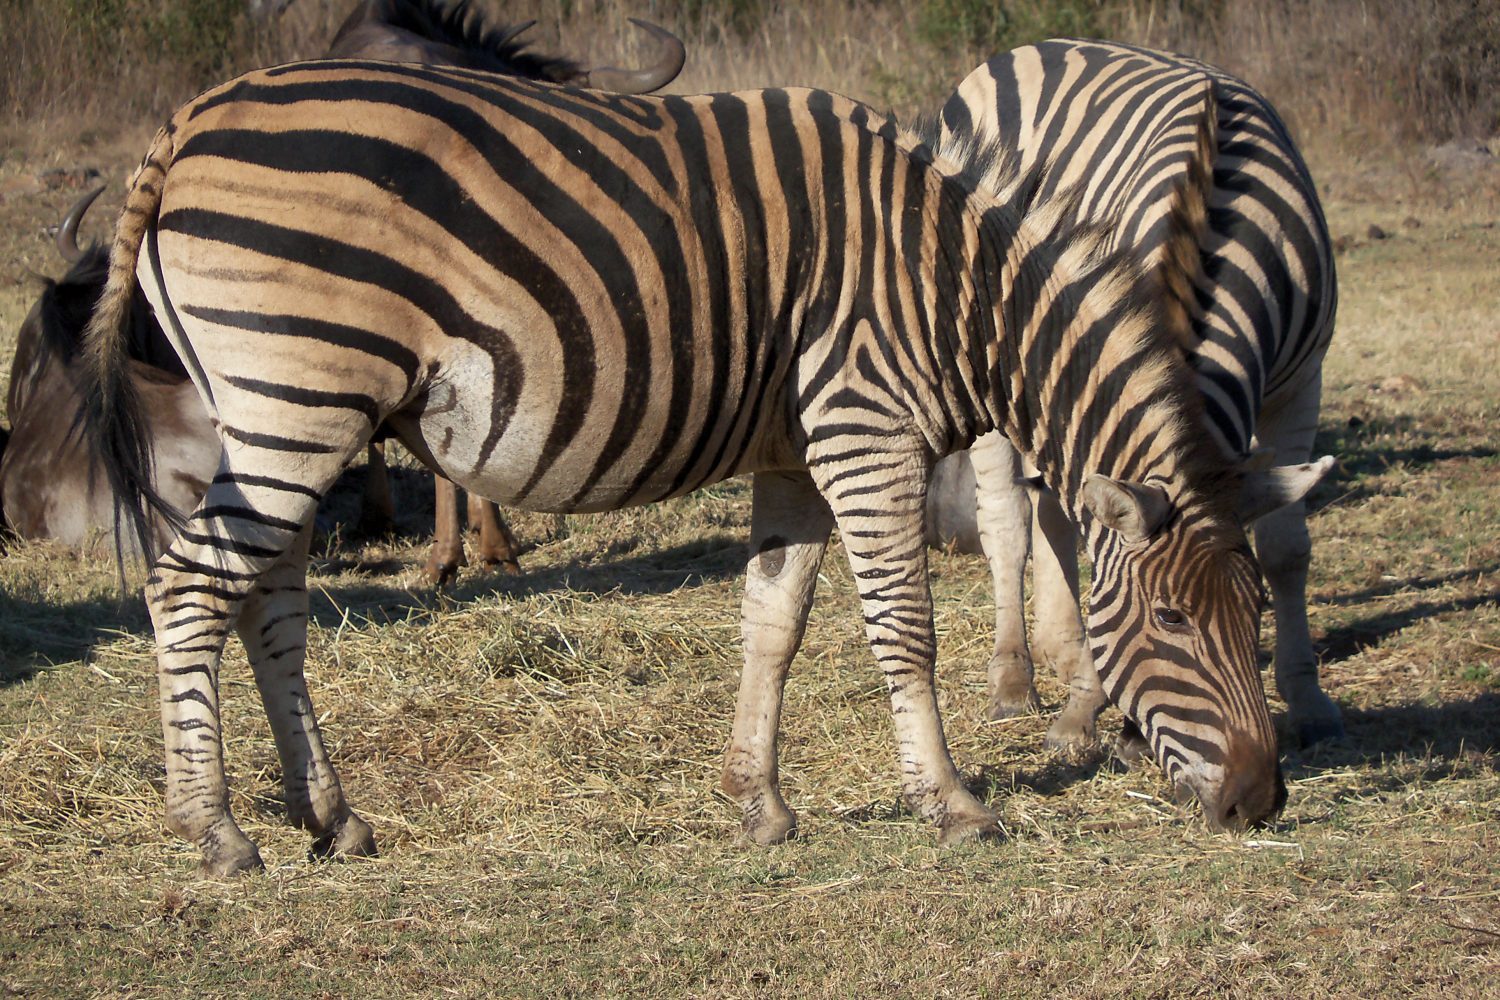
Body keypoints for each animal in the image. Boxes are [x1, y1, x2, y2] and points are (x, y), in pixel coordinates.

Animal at [79, 64, 1302, 875]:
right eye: (1177, 624)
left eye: (1255, 611)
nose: (1263, 799)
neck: (954, 285)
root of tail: (193, 117)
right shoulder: (866, 427)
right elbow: (903, 626)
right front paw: (955, 803)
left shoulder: (800, 451)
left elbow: (775, 622)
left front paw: (759, 804)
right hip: (298, 395)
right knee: (190, 589)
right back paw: (217, 831)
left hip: (281, 411)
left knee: (268, 600)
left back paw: (330, 816)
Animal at [930, 43, 1344, 755]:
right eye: (1160, 615)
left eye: (1255, 606)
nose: (1134, 743)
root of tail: (1026, 48)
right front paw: (1081, 709)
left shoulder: (1300, 384)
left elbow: (1287, 547)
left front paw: (1309, 700)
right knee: (1007, 523)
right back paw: (1015, 679)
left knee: (1050, 512)